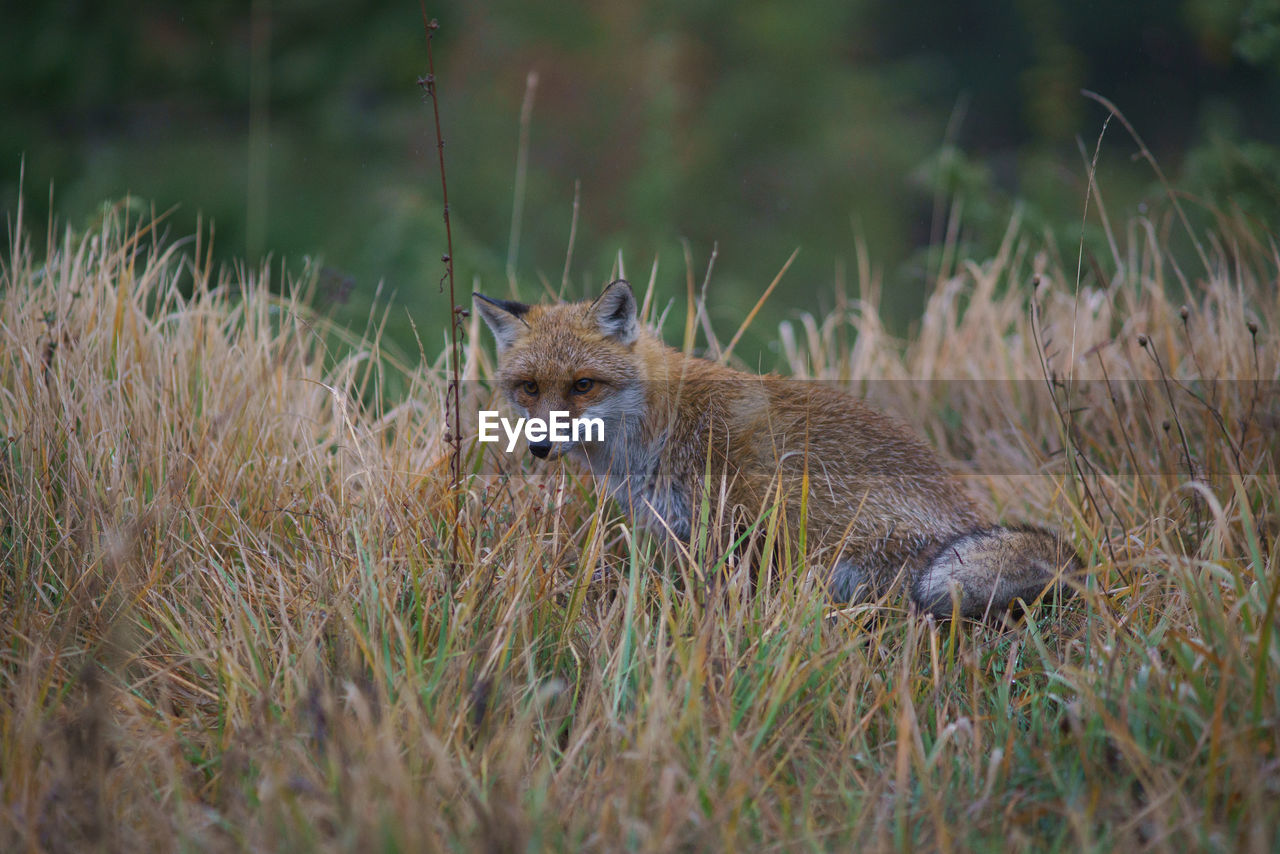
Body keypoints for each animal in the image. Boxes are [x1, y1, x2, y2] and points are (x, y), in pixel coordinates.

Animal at [473, 280, 1080, 622]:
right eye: (529, 387)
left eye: (582, 385)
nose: (540, 446)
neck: (660, 431)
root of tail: (965, 520)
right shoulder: (684, 535)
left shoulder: (744, 520)